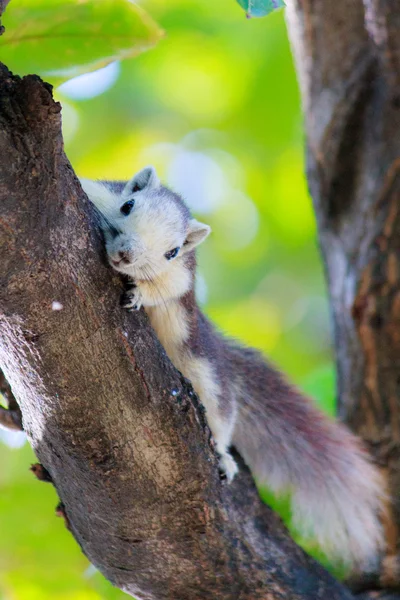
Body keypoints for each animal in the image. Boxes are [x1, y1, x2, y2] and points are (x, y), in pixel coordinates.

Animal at [80, 166, 384, 568]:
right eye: (127, 205)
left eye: (172, 251)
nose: (126, 254)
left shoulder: (181, 275)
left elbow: (167, 287)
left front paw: (141, 293)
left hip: (207, 374)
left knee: (221, 414)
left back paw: (223, 456)